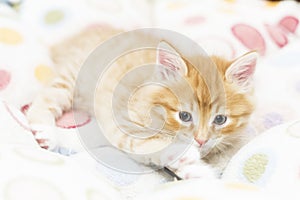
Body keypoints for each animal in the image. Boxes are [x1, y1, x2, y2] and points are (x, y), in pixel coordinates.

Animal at [25, 26, 256, 178]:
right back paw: (44, 129)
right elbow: (143, 143)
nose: (201, 140)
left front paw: (195, 170)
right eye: (184, 116)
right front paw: (184, 156)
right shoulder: (120, 121)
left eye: (220, 120)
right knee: (48, 96)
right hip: (72, 78)